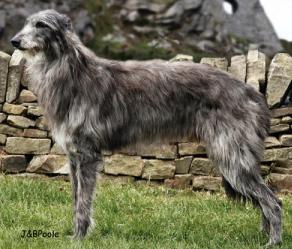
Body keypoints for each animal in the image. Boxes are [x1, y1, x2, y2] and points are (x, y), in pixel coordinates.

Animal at [12, 9, 282, 245]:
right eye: (26, 22)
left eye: (41, 25)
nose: (14, 41)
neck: (71, 72)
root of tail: (253, 93)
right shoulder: (73, 155)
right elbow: (76, 198)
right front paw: (76, 235)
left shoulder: (87, 154)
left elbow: (83, 203)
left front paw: (79, 238)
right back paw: (264, 234)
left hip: (231, 155)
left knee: (273, 201)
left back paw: (274, 241)